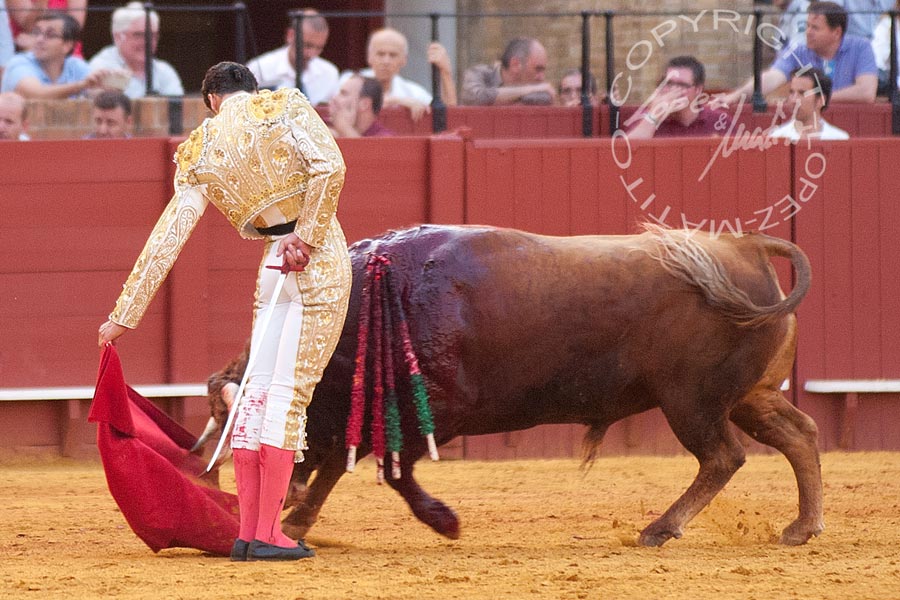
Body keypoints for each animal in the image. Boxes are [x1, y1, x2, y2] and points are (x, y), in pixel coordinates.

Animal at [195, 224, 824, 548]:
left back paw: (659, 529)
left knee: (723, 456)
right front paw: (300, 522)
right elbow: (341, 465)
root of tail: (745, 247)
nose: (218, 485)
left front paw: (444, 521)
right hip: (747, 396)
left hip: (692, 401)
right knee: (798, 435)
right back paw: (801, 527)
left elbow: (390, 469)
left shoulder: (437, 411)